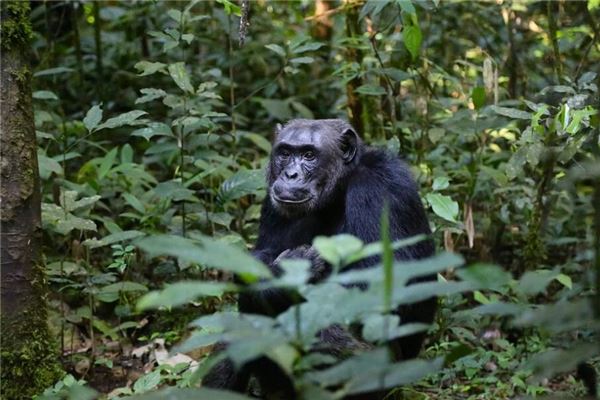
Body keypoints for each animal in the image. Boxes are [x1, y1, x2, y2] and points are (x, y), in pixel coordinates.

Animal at [203, 119, 436, 400]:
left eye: (309, 155)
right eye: (285, 153)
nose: (290, 174)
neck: (338, 191)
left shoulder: (381, 189)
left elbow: (383, 285)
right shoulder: (271, 200)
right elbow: (262, 255)